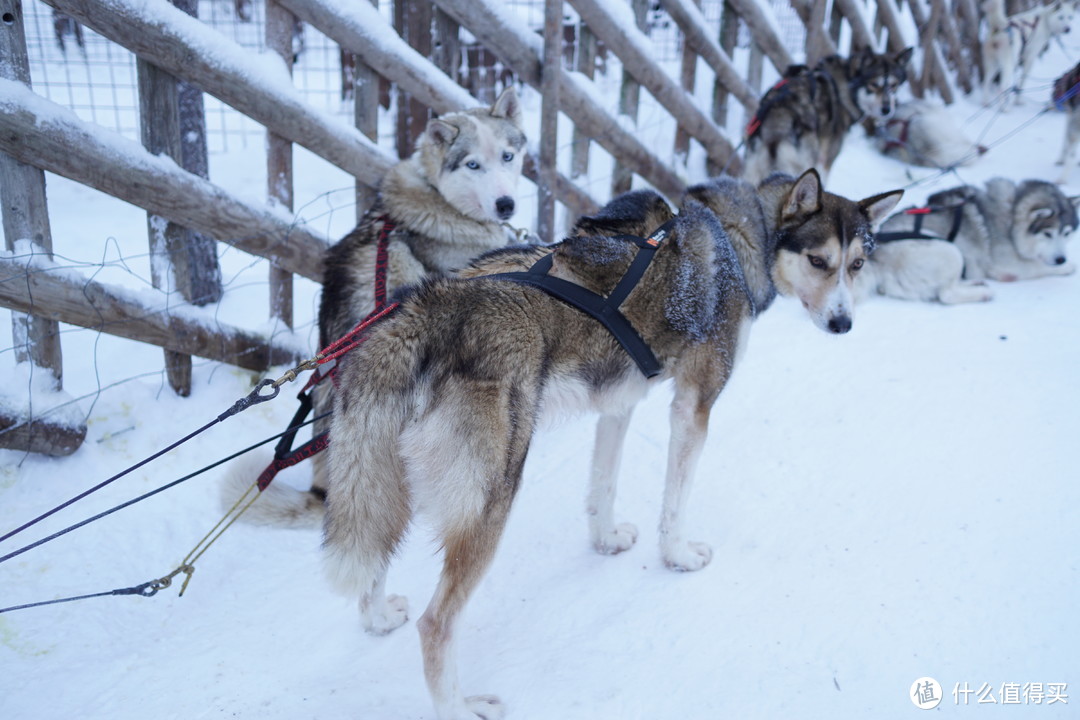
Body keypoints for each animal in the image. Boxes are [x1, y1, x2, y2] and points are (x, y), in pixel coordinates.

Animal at [321, 171, 902, 716]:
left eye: (856, 264)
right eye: (820, 261)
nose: (844, 323)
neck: (738, 233)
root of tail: (423, 312)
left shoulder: (618, 403)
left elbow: (603, 486)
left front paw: (606, 542)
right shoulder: (693, 408)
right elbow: (675, 504)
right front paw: (678, 557)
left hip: (387, 490)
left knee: (375, 560)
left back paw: (378, 618)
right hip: (491, 496)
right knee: (436, 624)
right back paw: (459, 708)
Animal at [743, 45, 911, 185]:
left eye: (894, 85)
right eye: (873, 85)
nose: (886, 109)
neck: (847, 83)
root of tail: (779, 117)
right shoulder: (825, 162)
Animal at [872, 179, 1075, 291]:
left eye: (1067, 233)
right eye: (1047, 234)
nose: (1061, 259)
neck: (1012, 214)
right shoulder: (1008, 266)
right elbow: (1039, 267)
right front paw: (1067, 267)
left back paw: (976, 284)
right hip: (948, 250)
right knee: (947, 294)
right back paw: (982, 293)